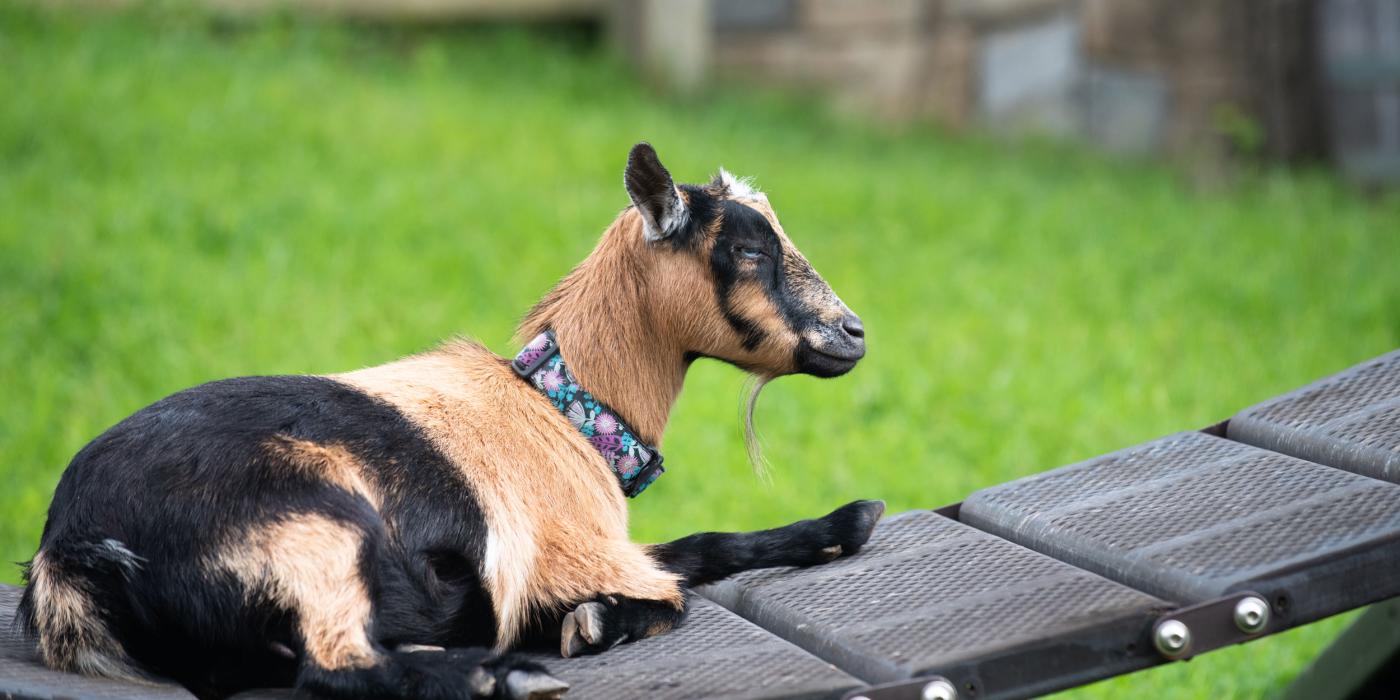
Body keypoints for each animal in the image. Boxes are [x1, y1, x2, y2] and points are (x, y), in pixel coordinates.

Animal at [19, 143, 873, 700]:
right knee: (334, 668)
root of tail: (70, 550)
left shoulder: (601, 547)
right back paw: (508, 675)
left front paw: (847, 521)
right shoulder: (572, 553)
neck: (563, 414)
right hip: (316, 523)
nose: (854, 333)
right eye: (746, 250)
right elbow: (673, 592)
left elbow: (705, 545)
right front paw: (587, 627)